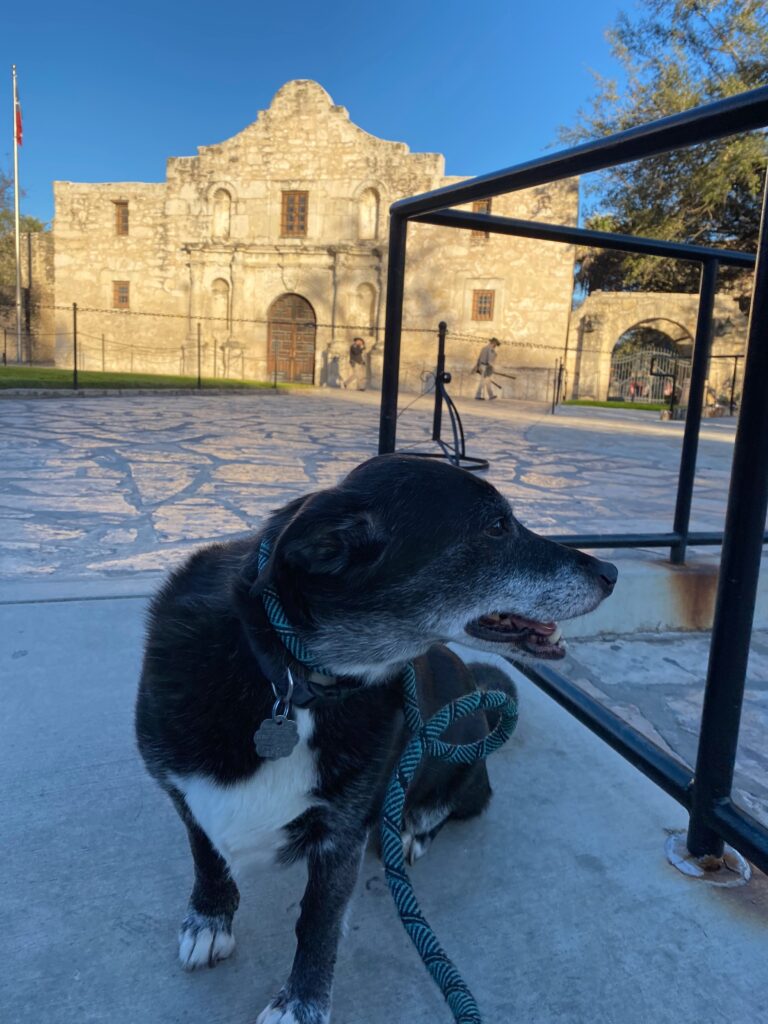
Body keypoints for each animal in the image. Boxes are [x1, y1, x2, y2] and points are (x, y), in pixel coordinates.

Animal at [137, 458, 618, 1024]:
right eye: (497, 527)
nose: (612, 574)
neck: (292, 678)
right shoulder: (184, 790)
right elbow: (207, 855)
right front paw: (210, 919)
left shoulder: (341, 835)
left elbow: (317, 923)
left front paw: (301, 1004)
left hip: (461, 763)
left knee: (456, 802)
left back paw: (412, 829)